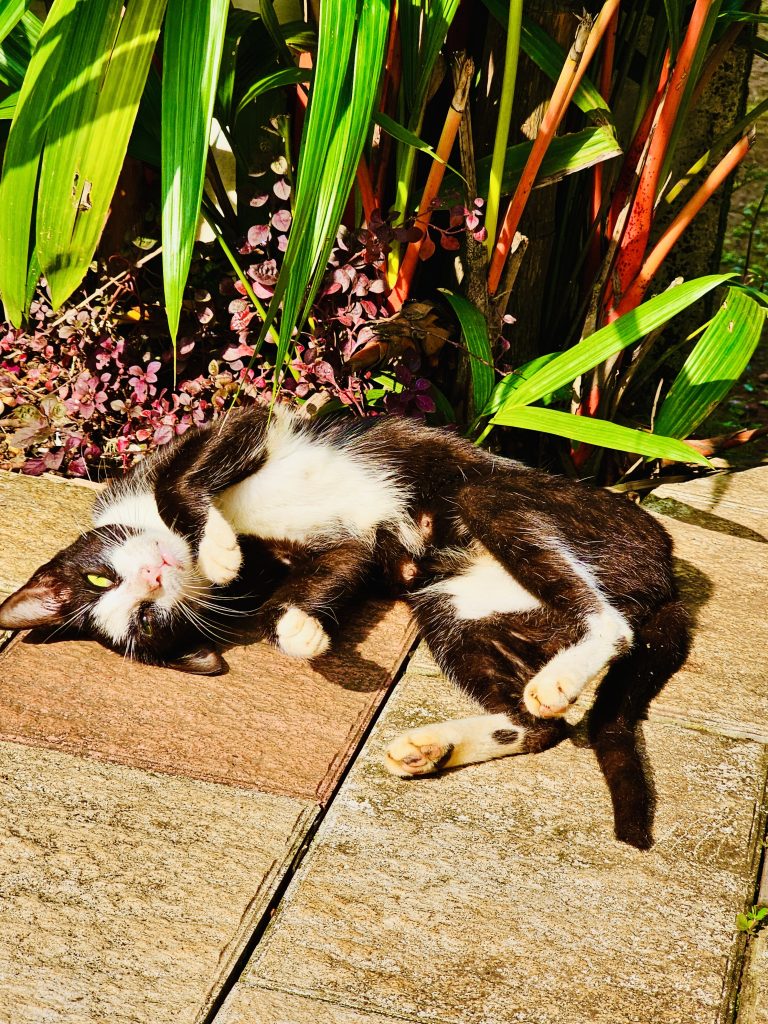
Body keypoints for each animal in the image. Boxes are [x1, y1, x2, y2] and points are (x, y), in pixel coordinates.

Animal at [0, 405, 692, 847]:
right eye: (145, 621)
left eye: (100, 581)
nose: (152, 577)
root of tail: (665, 571)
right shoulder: (333, 553)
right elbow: (329, 571)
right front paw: (298, 630)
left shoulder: (228, 430)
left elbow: (187, 477)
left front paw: (217, 550)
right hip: (451, 607)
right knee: (541, 717)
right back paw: (442, 742)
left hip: (507, 500)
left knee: (607, 620)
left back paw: (560, 676)